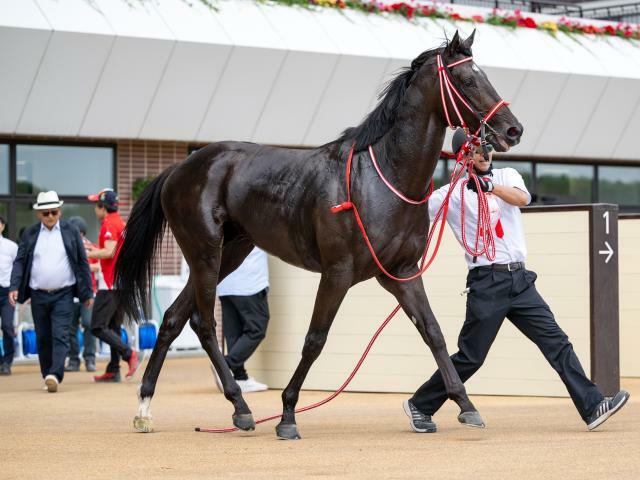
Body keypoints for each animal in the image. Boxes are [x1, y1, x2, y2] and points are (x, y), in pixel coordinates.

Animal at [116, 31, 520, 438]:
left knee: (173, 318)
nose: (512, 129)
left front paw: (467, 405)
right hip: (205, 251)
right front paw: (287, 414)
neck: (382, 177)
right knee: (204, 323)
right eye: (467, 80)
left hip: (232, 251)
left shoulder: (402, 272)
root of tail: (180, 168)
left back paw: (148, 406)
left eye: (483, 75)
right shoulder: (337, 272)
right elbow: (315, 340)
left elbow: (433, 331)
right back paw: (239, 407)